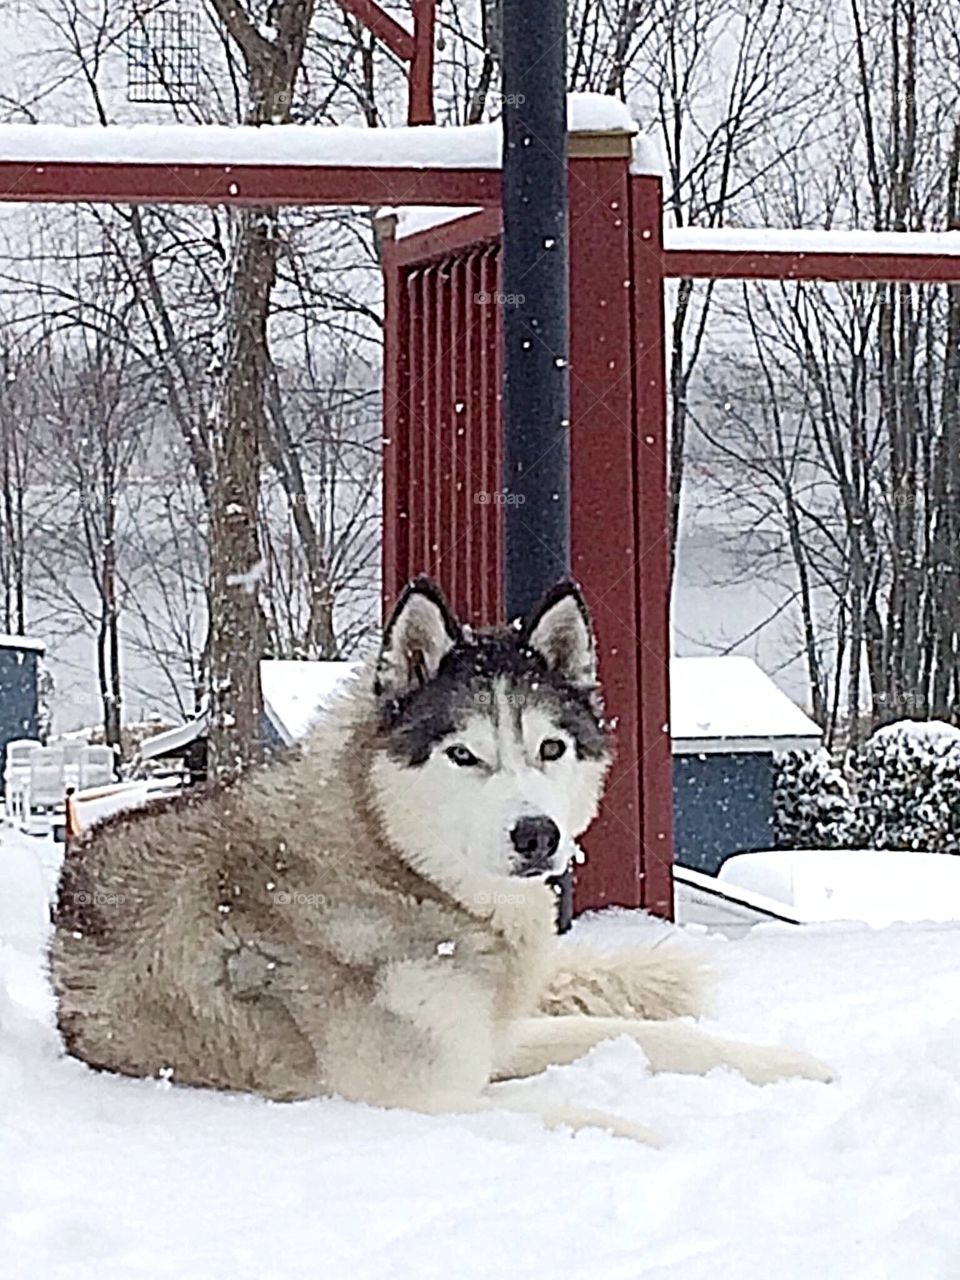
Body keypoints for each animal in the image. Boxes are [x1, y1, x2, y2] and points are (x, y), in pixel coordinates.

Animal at [50, 581, 834, 1141]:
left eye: (552, 747)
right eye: (463, 753)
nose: (537, 834)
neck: (399, 871)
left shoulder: (491, 1041)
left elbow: (642, 1033)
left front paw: (792, 1065)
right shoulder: (419, 1099)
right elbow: (589, 1120)